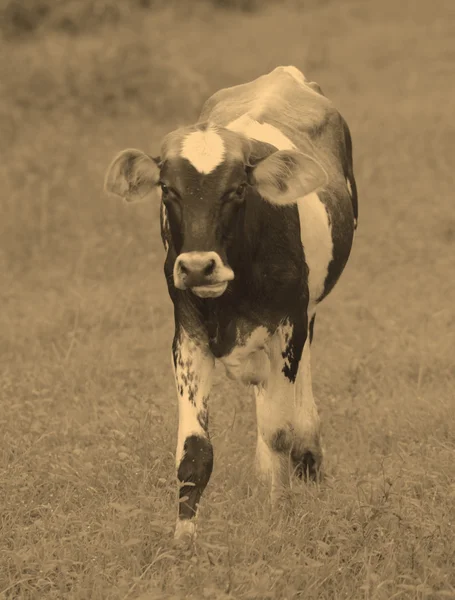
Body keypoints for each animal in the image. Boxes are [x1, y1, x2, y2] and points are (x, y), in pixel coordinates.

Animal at [104, 65, 360, 544]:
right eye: (168, 189)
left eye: (238, 189)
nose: (198, 267)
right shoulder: (187, 335)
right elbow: (195, 451)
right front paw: (184, 540)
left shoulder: (288, 327)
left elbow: (280, 432)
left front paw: (279, 514)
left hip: (307, 317)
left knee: (297, 411)